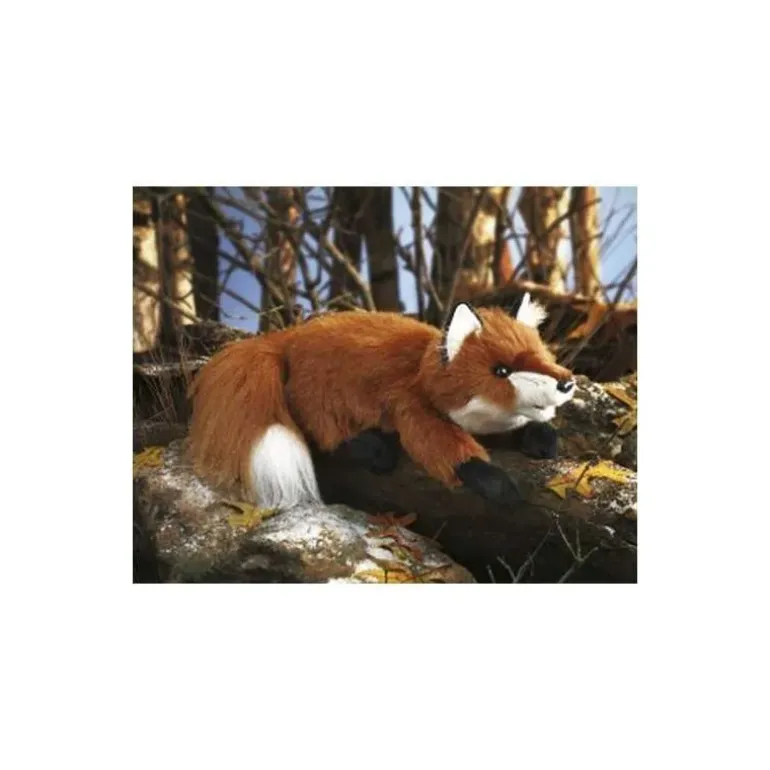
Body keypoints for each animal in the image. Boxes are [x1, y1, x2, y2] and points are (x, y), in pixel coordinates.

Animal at [186, 293, 576, 510]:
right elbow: (447, 450)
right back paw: (371, 446)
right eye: (501, 370)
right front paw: (495, 482)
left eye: (543, 354)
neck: (419, 370)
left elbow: (525, 426)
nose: (567, 382)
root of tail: (284, 337)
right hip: (321, 399)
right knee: (326, 435)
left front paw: (542, 438)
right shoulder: (413, 410)